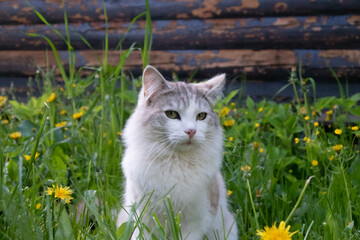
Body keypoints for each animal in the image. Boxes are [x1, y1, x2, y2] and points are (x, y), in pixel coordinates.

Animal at [116, 64, 238, 239]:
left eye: (201, 116)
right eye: (171, 114)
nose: (191, 131)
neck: (176, 161)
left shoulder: (196, 222)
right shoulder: (143, 219)